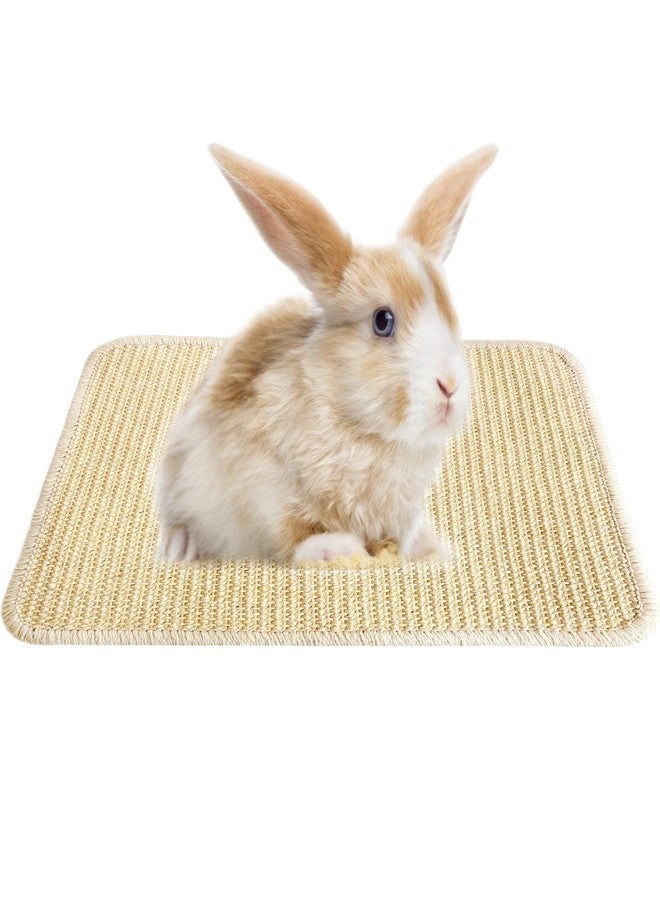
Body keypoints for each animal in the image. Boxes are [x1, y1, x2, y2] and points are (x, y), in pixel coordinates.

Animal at [156, 142, 496, 564]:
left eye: (451, 314)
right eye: (383, 321)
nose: (449, 385)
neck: (363, 430)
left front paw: (426, 552)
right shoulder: (262, 483)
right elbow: (293, 529)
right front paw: (335, 550)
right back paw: (179, 546)